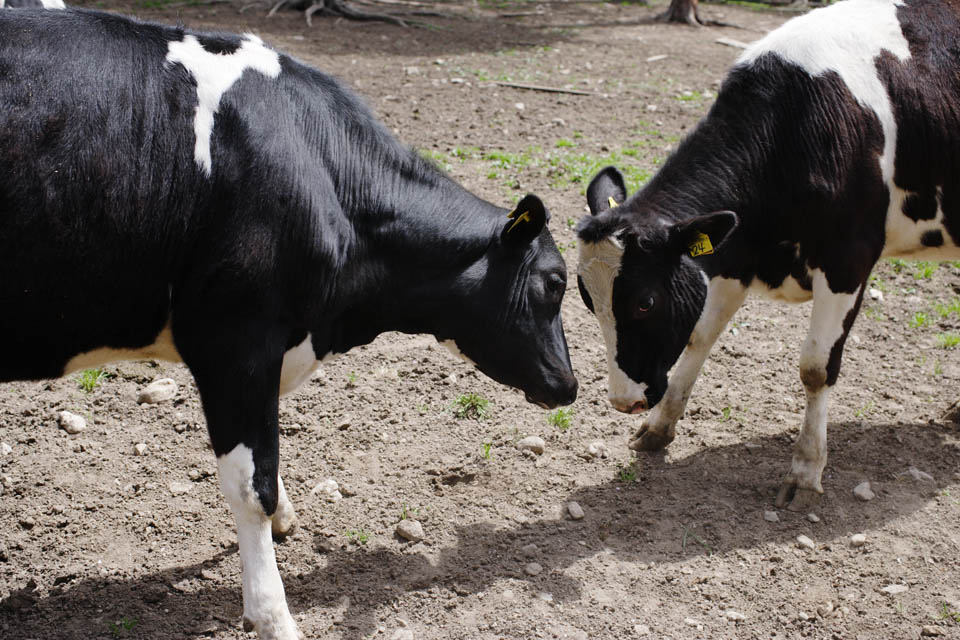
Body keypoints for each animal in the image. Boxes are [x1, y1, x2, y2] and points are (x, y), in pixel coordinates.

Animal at [0, 6, 576, 640]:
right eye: (554, 282)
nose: (569, 384)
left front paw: (286, 519)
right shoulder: (235, 342)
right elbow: (252, 485)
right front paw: (274, 614)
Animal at [576, 0, 960, 510]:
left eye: (645, 302)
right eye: (588, 301)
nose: (626, 400)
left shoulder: (847, 260)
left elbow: (816, 368)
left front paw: (805, 471)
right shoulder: (735, 255)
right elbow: (699, 336)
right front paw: (658, 428)